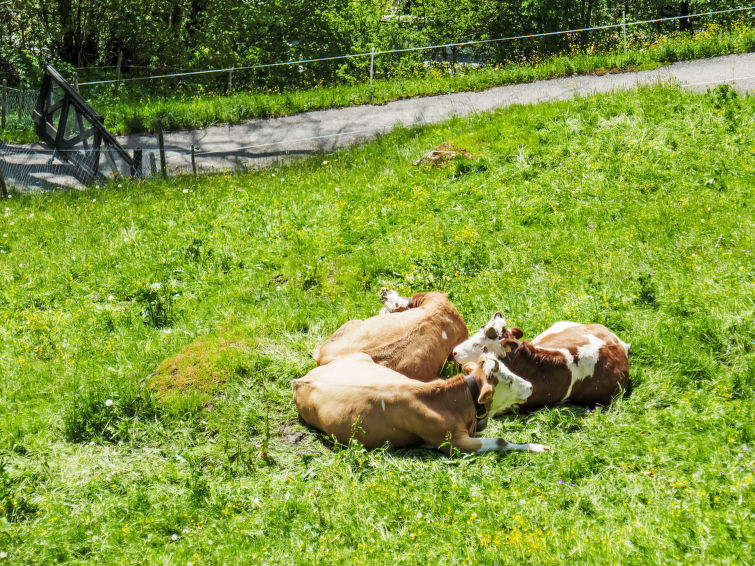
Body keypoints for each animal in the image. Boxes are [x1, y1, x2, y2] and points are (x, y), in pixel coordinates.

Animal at [290, 350, 548, 458]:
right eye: (507, 379)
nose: (531, 386)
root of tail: (301, 379)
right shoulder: (454, 444)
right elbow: (501, 441)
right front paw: (537, 447)